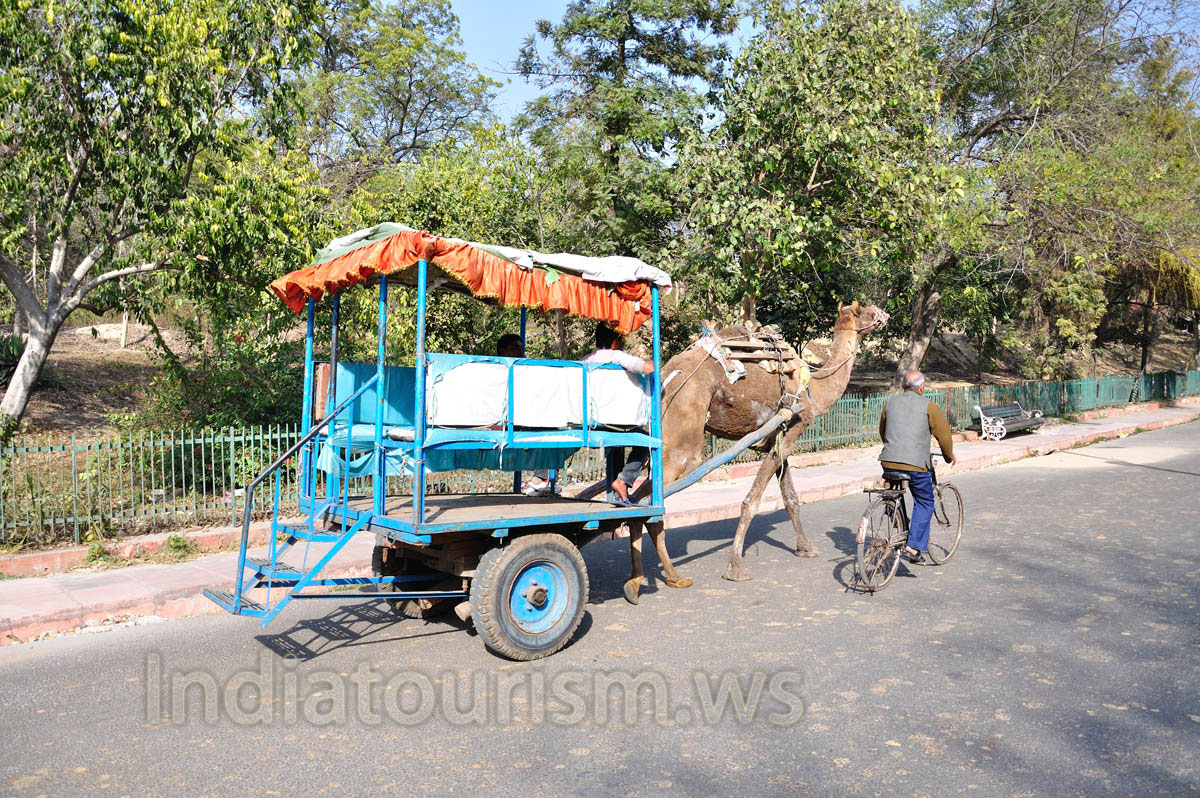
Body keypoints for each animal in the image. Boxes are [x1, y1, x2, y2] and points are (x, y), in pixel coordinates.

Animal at [621, 301, 889, 603]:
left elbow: (791, 497)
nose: (885, 315)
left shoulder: (777, 438)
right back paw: (668, 577)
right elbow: (752, 500)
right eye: (868, 310)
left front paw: (806, 548)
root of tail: (668, 374)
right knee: (652, 502)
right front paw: (736, 567)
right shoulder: (793, 429)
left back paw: (646, 581)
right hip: (685, 438)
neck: (815, 390)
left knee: (638, 501)